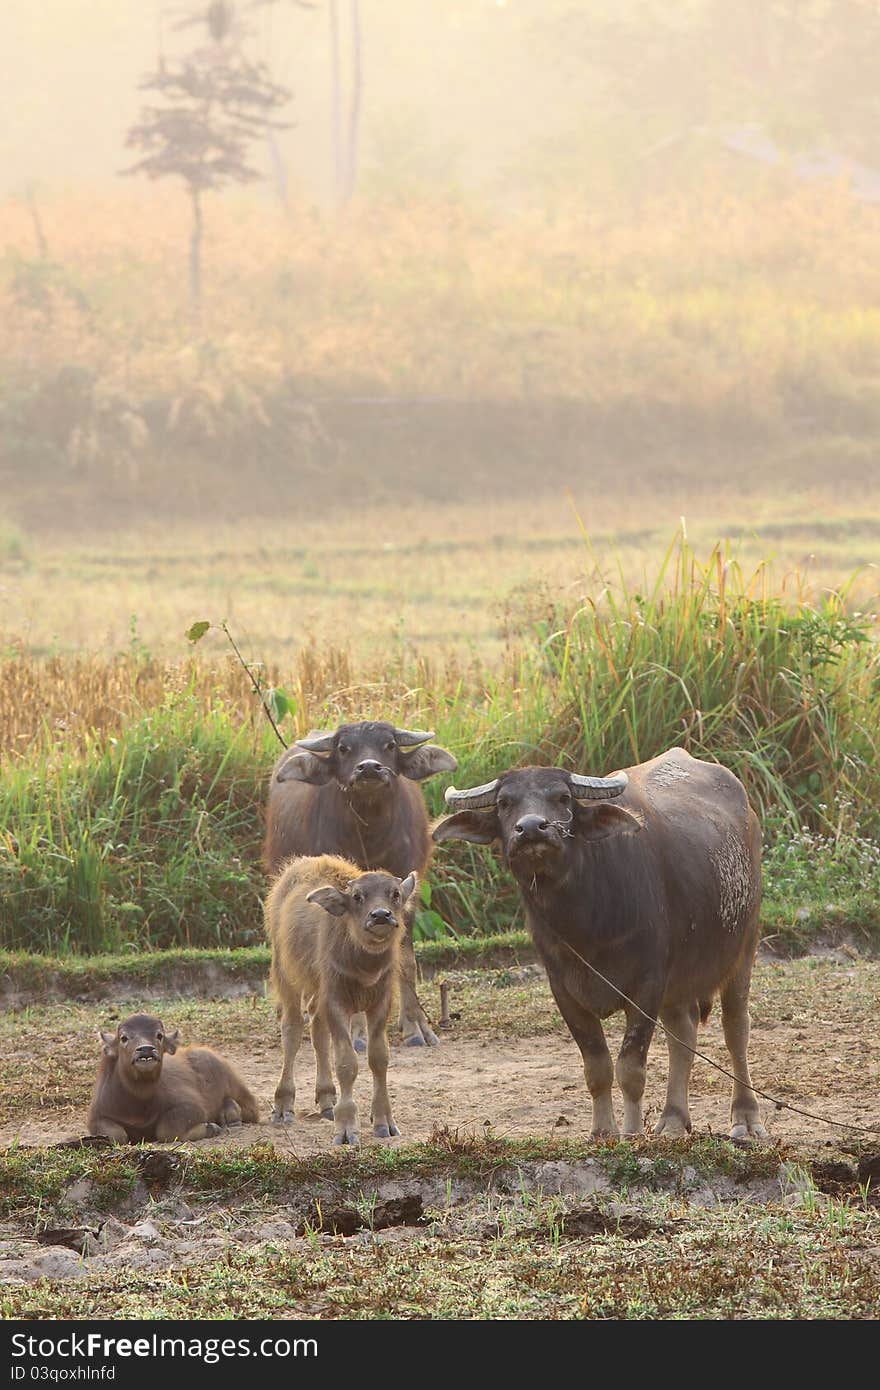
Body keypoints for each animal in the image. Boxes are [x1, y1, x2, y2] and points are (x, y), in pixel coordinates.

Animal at [264, 722, 455, 1045]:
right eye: (344, 748)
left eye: (389, 745)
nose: (368, 768)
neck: (371, 836)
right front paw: (355, 1030)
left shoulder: (406, 892)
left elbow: (406, 960)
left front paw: (416, 1025)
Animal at [433, 750, 761, 1139]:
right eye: (503, 803)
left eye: (562, 797)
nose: (532, 828)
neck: (586, 921)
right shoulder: (564, 990)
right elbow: (597, 1067)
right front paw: (603, 1132)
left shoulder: (648, 984)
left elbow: (630, 1068)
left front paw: (631, 1132)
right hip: (678, 981)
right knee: (683, 1031)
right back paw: (673, 1119)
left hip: (744, 947)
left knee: (735, 1029)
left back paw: (745, 1118)